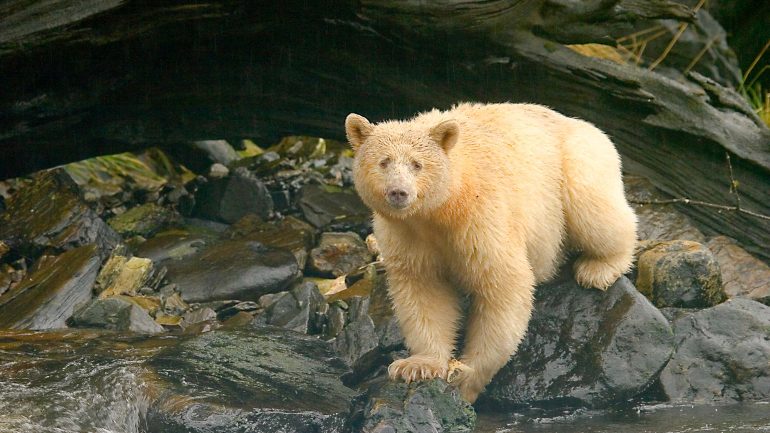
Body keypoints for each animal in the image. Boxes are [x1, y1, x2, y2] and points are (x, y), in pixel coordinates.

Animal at [344, 102, 637, 403]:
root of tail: (581, 123)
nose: (398, 192)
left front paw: (466, 376)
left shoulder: (482, 217)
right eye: (384, 161)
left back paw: (599, 268)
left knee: (591, 209)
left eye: (417, 164)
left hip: (575, 163)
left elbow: (504, 285)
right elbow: (423, 290)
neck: (444, 208)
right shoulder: (407, 235)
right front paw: (418, 365)